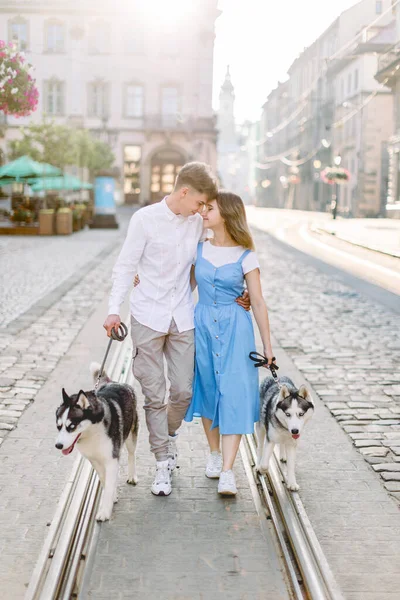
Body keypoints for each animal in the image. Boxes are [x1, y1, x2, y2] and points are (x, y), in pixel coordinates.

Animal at [55, 360, 139, 520]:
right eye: (58, 426)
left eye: (72, 426)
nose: (58, 445)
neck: (92, 433)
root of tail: (113, 382)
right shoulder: (94, 460)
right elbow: (105, 481)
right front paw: (112, 496)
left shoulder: (112, 459)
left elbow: (110, 483)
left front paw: (105, 511)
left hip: (131, 435)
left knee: (132, 454)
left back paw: (132, 475)